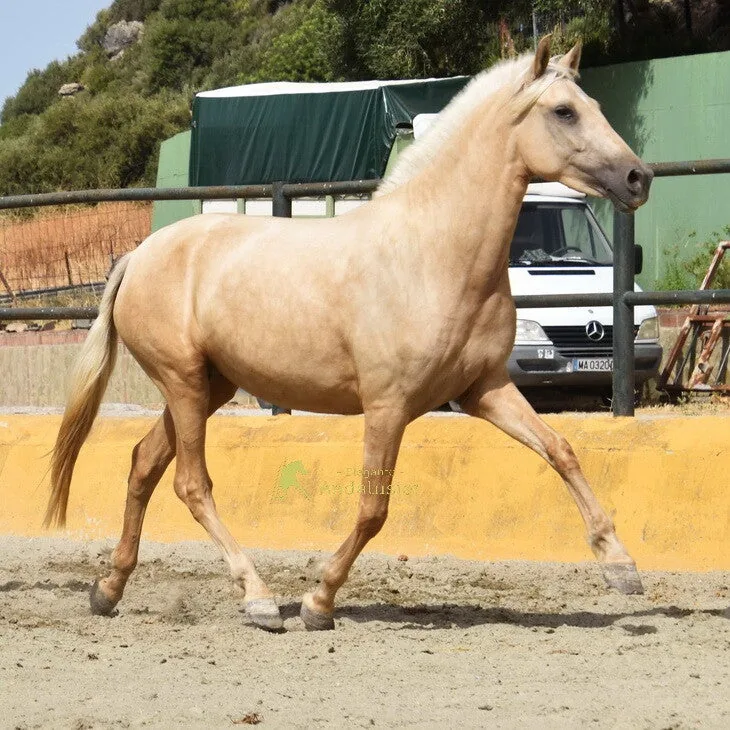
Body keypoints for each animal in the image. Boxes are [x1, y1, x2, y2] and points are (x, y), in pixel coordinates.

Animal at [45, 37, 653, 632]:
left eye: (594, 104)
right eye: (564, 111)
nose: (638, 178)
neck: (433, 254)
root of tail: (138, 256)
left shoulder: (485, 390)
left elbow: (562, 451)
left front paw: (621, 568)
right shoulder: (388, 405)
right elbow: (373, 509)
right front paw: (319, 601)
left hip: (207, 388)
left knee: (143, 464)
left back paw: (108, 589)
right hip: (185, 384)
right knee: (191, 485)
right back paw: (258, 599)